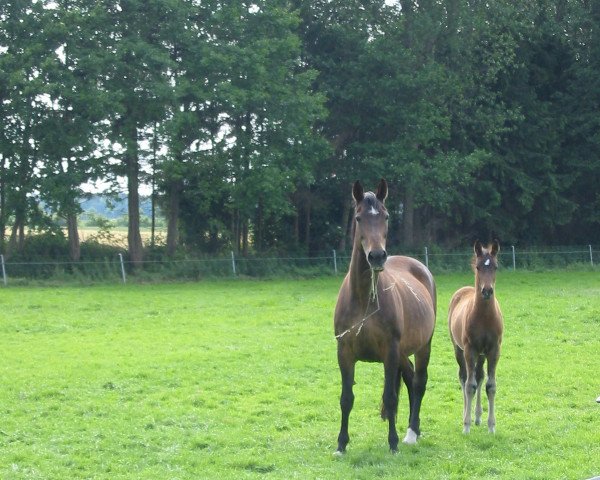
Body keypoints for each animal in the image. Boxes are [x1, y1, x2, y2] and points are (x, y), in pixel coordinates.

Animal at [332, 180, 436, 454]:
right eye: (358, 218)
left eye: (386, 216)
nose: (377, 256)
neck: (363, 299)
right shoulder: (344, 352)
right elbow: (346, 399)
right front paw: (341, 445)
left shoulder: (390, 351)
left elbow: (390, 397)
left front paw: (393, 443)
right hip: (403, 352)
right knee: (410, 377)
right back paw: (412, 429)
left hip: (423, 346)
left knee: (419, 381)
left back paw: (411, 433)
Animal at [448, 242, 504, 434]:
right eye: (479, 267)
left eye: (495, 266)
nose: (487, 291)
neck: (484, 317)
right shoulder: (470, 349)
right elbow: (469, 385)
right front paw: (466, 425)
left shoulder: (494, 350)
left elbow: (490, 386)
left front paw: (491, 426)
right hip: (459, 349)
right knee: (464, 377)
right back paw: (467, 415)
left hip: (481, 354)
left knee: (479, 376)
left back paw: (478, 416)